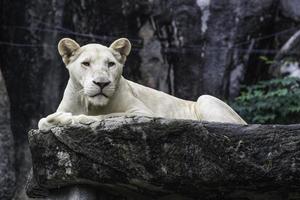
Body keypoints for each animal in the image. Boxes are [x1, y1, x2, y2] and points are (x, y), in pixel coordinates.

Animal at [38, 38, 246, 130]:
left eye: (110, 64)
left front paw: (76, 119)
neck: (88, 104)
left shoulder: (144, 113)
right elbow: (42, 122)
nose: (102, 83)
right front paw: (56, 119)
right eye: (86, 63)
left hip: (205, 99)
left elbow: (111, 115)